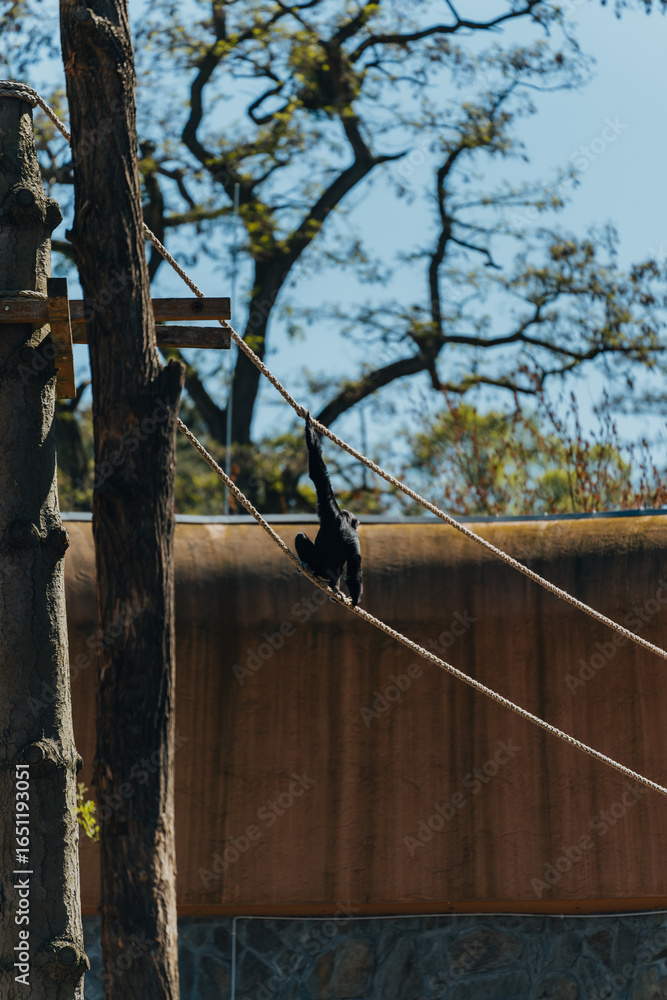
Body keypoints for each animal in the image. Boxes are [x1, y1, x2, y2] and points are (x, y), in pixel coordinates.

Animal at [295, 412, 363, 607]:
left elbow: (319, 476)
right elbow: (354, 566)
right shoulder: (354, 537)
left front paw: (309, 426)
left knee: (300, 537)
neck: (342, 521)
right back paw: (334, 587)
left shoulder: (329, 508)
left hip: (319, 568)